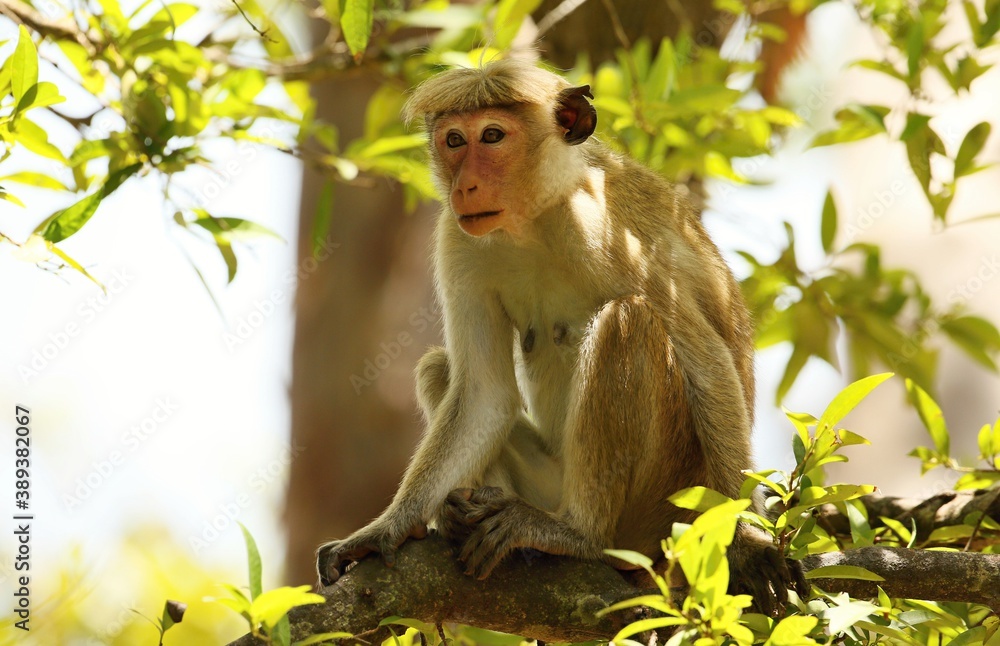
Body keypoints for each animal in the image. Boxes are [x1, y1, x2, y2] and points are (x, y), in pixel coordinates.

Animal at [316, 59, 805, 613]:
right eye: (454, 140)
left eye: (492, 135)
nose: (464, 187)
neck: (535, 217)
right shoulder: (458, 239)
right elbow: (485, 394)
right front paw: (384, 530)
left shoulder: (602, 230)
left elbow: (709, 366)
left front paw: (747, 542)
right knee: (443, 370)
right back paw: (467, 520)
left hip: (669, 500)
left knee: (629, 321)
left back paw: (577, 535)